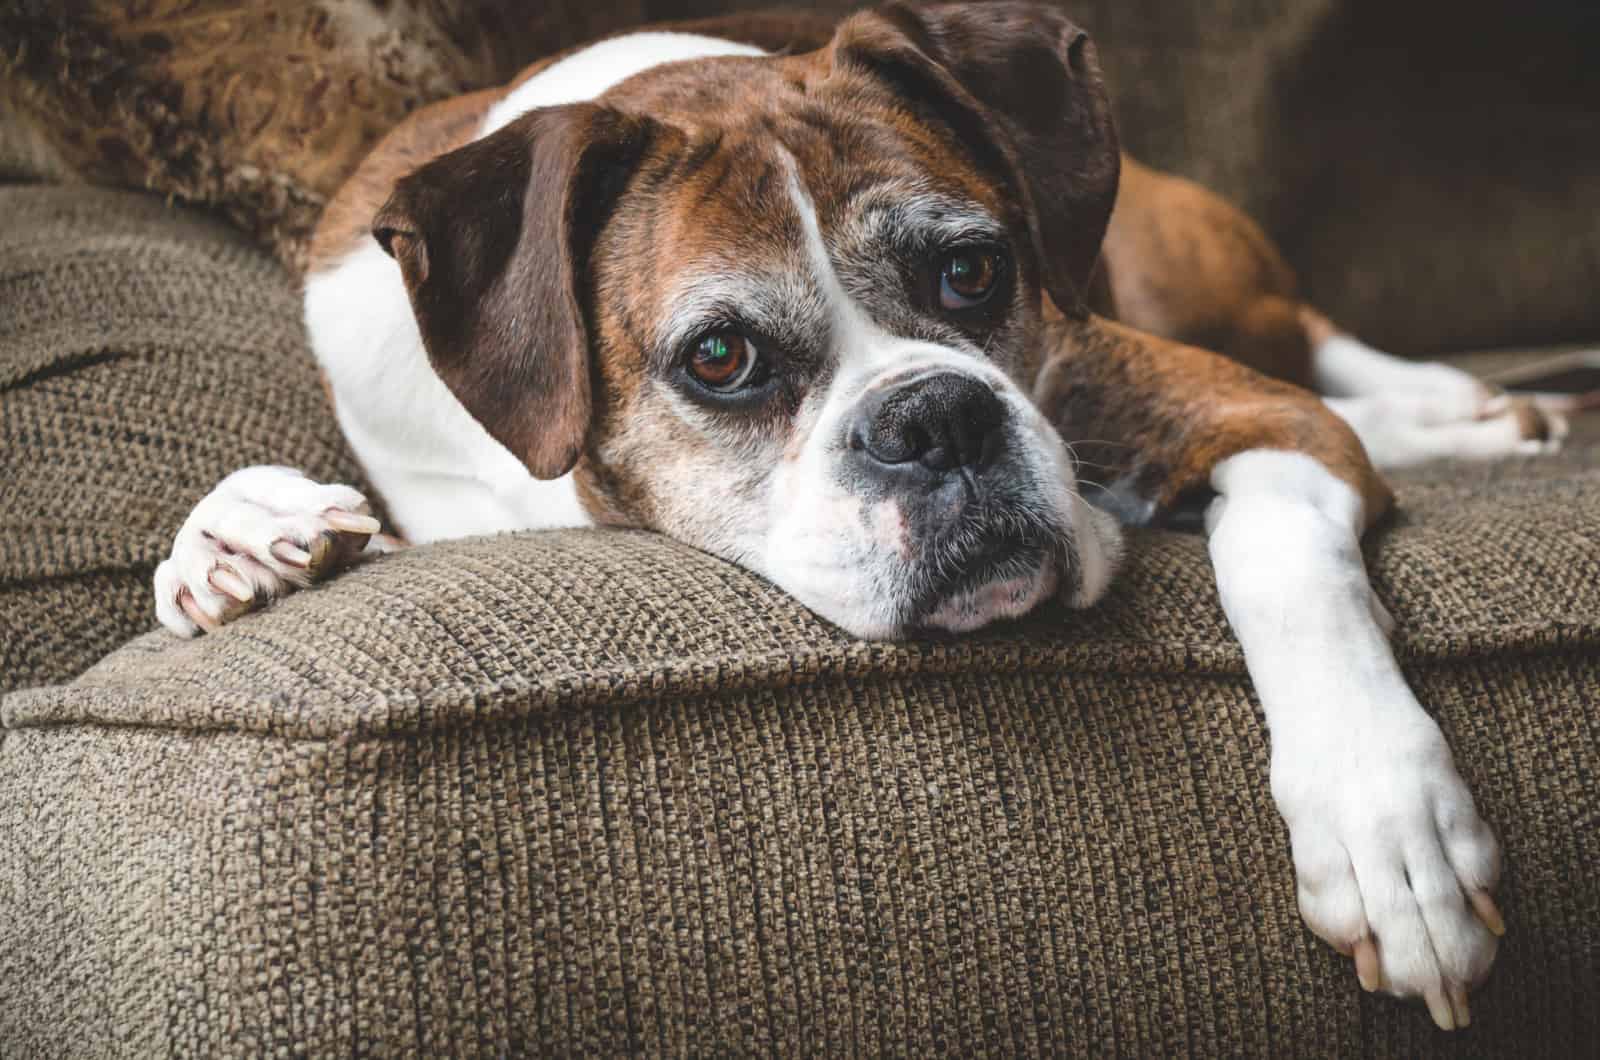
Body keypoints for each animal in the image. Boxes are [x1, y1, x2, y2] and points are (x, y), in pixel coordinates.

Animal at [152, 0, 1561, 1031]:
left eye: (974, 270)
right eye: (721, 356)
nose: (936, 418)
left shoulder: (1253, 417)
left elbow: (1277, 555)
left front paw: (1385, 825)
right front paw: (238, 539)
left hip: (1200, 285)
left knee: (1318, 341)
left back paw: (1473, 412)